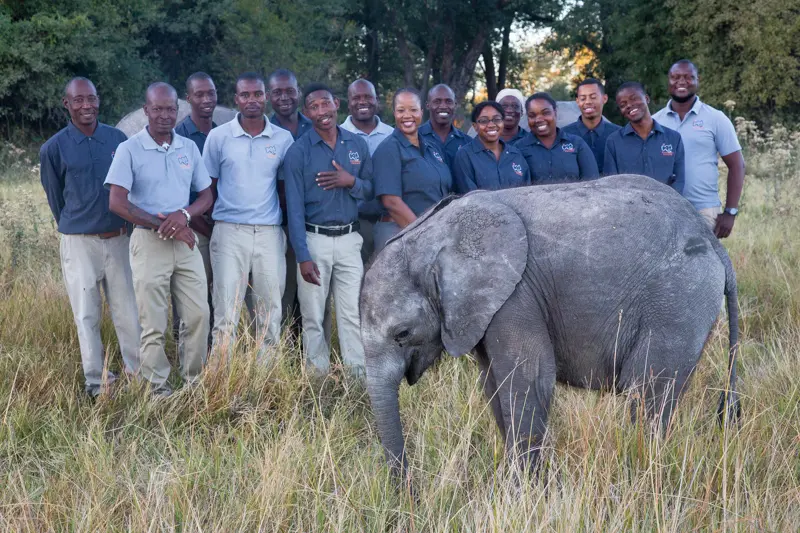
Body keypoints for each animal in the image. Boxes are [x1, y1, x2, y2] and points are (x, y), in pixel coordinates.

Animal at [360, 174, 740, 478]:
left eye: (402, 334)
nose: (410, 491)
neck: (432, 238)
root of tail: (712, 241)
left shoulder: (516, 297)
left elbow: (529, 380)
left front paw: (523, 490)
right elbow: (494, 387)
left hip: (678, 299)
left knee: (646, 391)